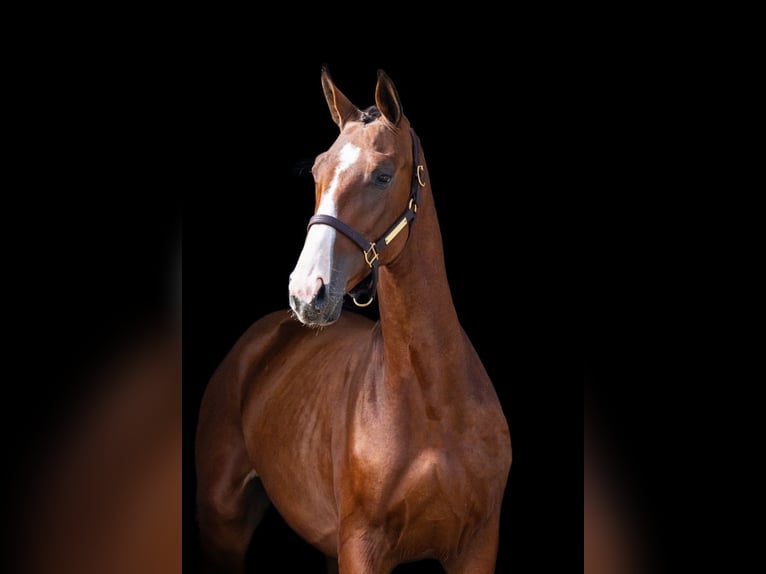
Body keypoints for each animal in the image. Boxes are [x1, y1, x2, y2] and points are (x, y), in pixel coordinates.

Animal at [195, 68, 512, 574]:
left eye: (383, 175)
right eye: (318, 171)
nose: (307, 293)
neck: (436, 407)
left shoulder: (477, 547)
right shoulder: (361, 547)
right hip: (222, 525)